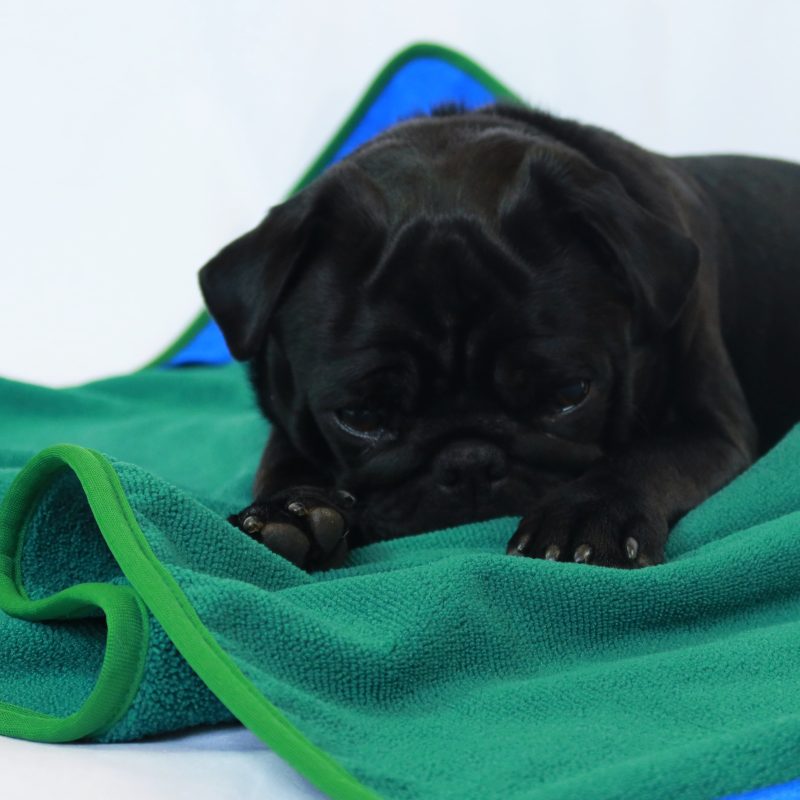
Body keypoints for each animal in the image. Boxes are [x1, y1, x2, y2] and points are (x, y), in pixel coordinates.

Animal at [198, 104, 800, 568]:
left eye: (569, 395)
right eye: (361, 417)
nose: (469, 461)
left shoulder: (712, 429)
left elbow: (643, 459)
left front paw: (586, 515)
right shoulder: (290, 416)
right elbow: (281, 460)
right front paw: (289, 512)